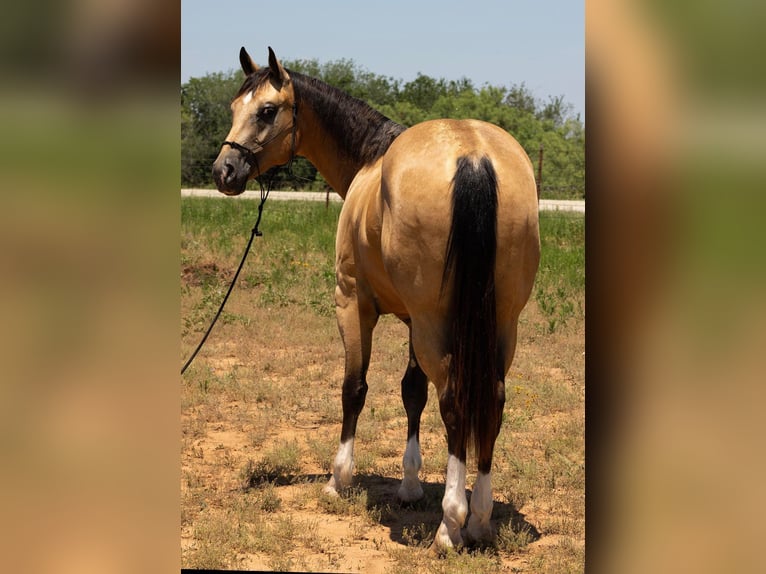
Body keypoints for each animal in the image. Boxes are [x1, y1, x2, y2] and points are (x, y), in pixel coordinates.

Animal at [213, 46, 544, 552]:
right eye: (234, 108)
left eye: (267, 111)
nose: (223, 172)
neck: (371, 159)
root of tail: (472, 154)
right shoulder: (412, 321)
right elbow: (412, 393)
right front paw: (409, 485)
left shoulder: (354, 303)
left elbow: (354, 389)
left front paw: (338, 479)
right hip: (500, 324)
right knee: (492, 398)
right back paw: (480, 519)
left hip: (434, 323)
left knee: (454, 403)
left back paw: (452, 523)